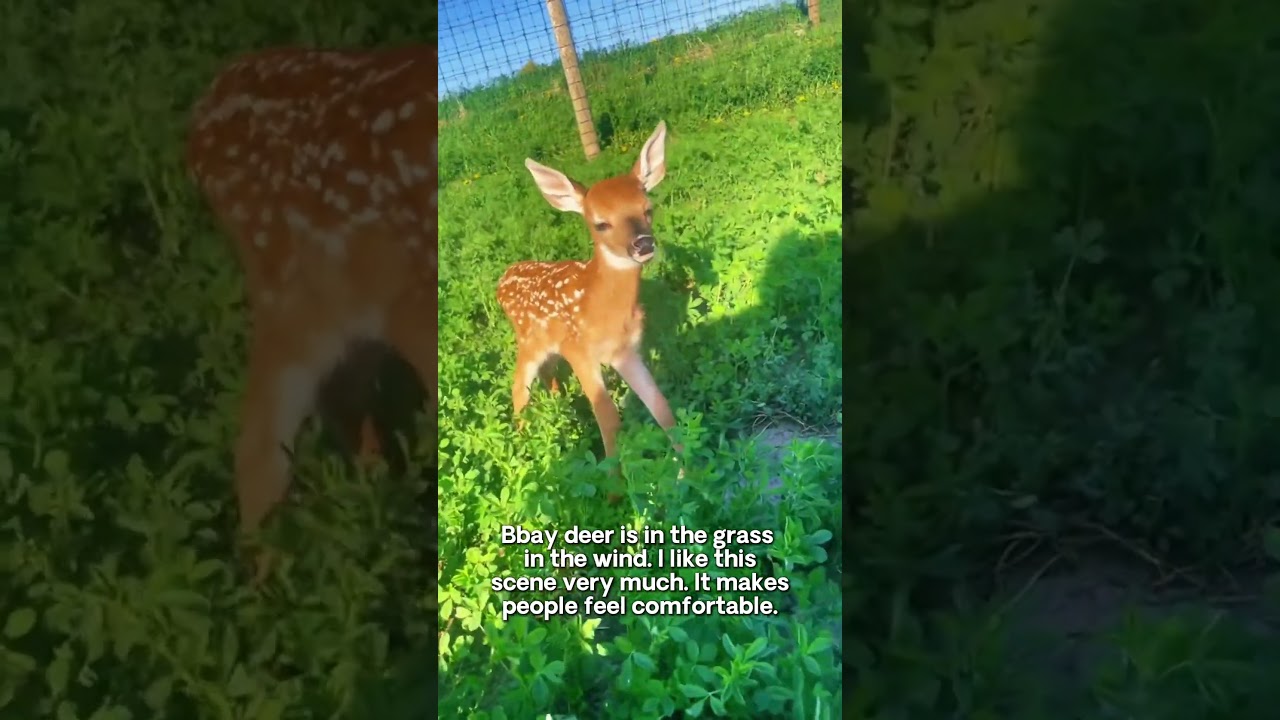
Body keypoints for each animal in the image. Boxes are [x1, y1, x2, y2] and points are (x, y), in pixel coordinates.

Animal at [496, 121, 682, 500]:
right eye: (601, 223)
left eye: (648, 208)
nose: (643, 244)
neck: (601, 308)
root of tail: (502, 280)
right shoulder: (579, 349)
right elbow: (609, 418)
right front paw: (613, 492)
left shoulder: (626, 351)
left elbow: (660, 406)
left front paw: (689, 470)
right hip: (529, 341)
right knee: (519, 387)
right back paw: (523, 446)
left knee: (548, 376)